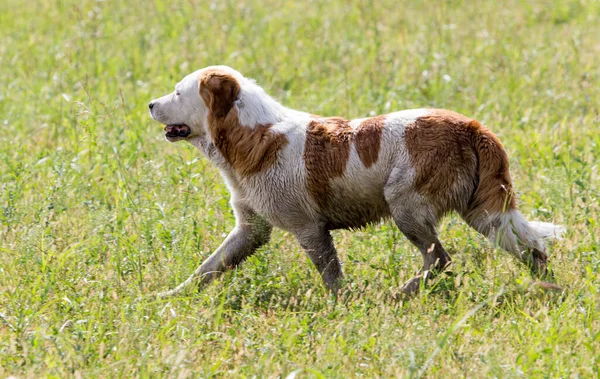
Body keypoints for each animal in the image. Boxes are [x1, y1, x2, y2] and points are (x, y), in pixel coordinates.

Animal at [149, 64, 564, 296]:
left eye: (177, 92)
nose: (150, 104)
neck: (254, 134)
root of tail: (471, 126)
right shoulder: (250, 230)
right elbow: (208, 268)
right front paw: (170, 297)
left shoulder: (309, 229)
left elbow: (331, 277)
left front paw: (342, 309)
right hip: (485, 214)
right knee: (533, 250)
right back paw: (550, 291)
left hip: (406, 206)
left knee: (440, 259)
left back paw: (399, 294)